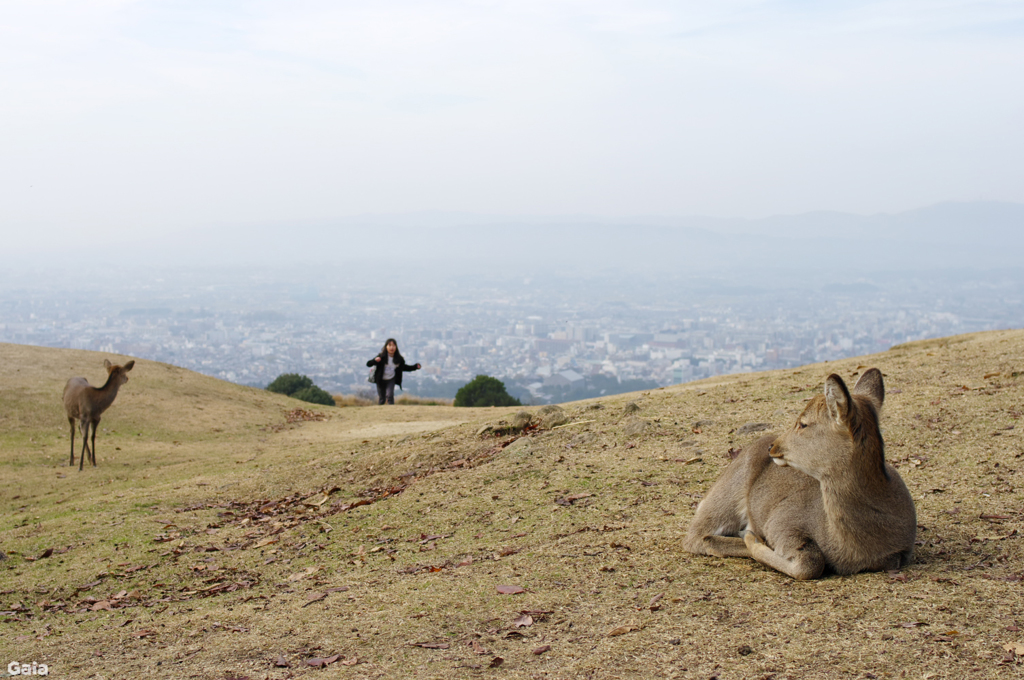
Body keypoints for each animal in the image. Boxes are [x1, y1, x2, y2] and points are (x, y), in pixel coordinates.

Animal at [684, 366, 917, 577]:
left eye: (803, 424)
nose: (773, 447)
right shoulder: (782, 521)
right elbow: (811, 563)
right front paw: (754, 539)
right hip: (728, 494)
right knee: (696, 536)